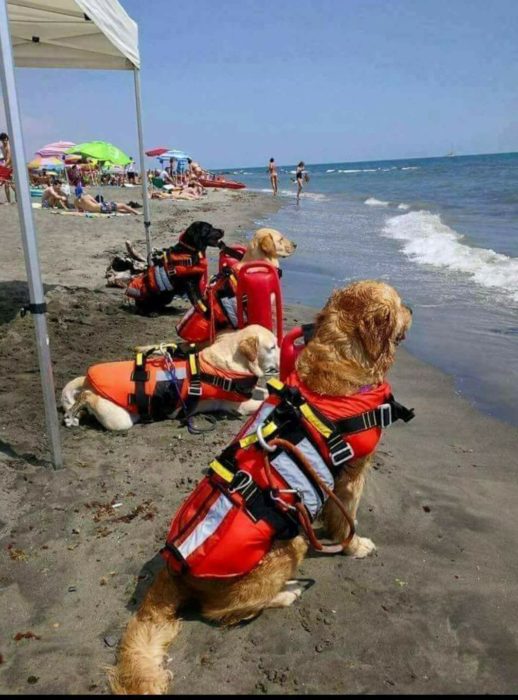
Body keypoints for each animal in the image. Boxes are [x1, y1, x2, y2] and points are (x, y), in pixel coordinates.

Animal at [62, 324, 280, 432]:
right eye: (272, 347)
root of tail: (87, 379)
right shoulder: (240, 406)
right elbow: (260, 403)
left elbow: (264, 391)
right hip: (119, 419)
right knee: (86, 397)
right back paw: (73, 413)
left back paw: (77, 415)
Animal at [106, 280, 414, 696]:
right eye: (398, 303)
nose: (412, 308)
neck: (340, 360)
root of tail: (173, 568)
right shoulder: (352, 474)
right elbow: (347, 519)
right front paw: (354, 546)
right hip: (289, 545)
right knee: (221, 612)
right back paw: (286, 593)